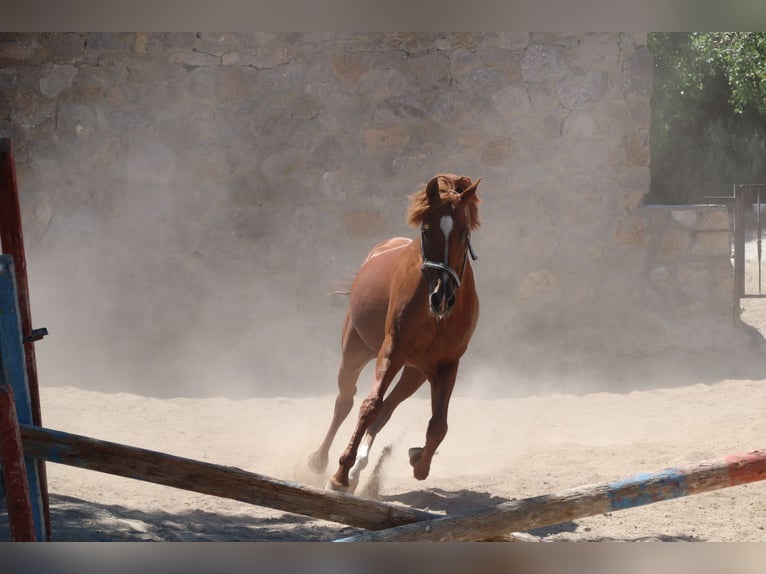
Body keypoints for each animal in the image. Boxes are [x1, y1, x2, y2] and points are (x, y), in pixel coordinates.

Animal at [306, 173, 480, 492]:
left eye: (464, 234)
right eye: (426, 231)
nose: (442, 298)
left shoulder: (446, 364)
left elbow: (438, 425)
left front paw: (419, 460)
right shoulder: (392, 350)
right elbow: (369, 405)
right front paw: (339, 475)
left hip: (414, 372)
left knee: (387, 410)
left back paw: (361, 470)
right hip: (355, 351)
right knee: (345, 401)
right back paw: (321, 462)